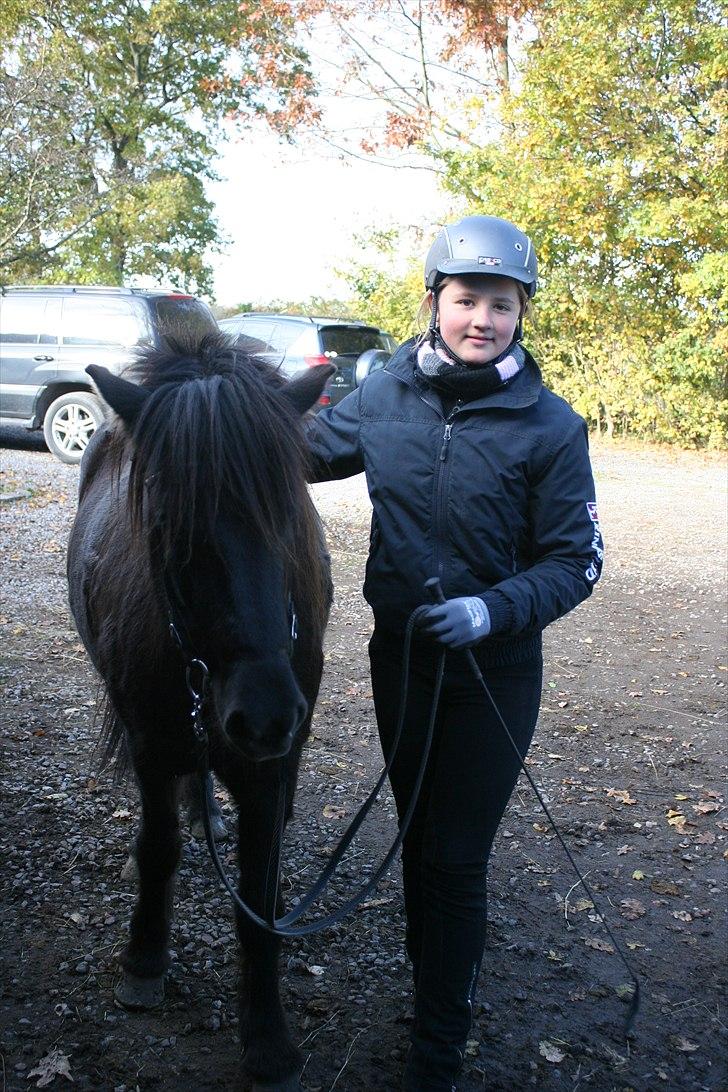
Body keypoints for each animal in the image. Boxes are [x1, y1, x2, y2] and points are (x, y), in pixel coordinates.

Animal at [65, 334, 333, 1092]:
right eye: (164, 523)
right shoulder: (154, 747)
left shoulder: (274, 767)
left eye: (292, 518)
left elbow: (259, 896)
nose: (263, 714)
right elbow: (159, 848)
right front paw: (144, 959)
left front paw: (268, 1038)